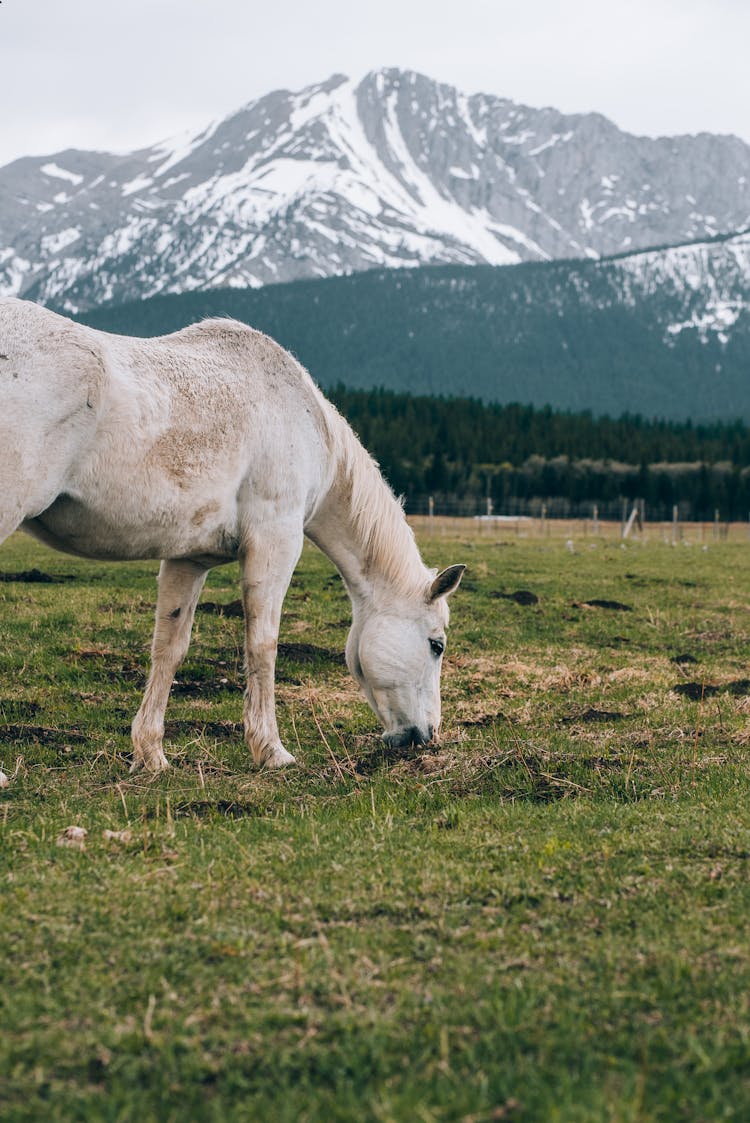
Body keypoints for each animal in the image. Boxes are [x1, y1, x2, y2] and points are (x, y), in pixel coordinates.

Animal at [0, 298, 462, 772]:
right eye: (436, 645)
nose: (425, 735)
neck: (303, 418)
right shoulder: (275, 541)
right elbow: (263, 644)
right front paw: (271, 750)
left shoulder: (188, 559)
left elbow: (169, 647)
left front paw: (151, 755)